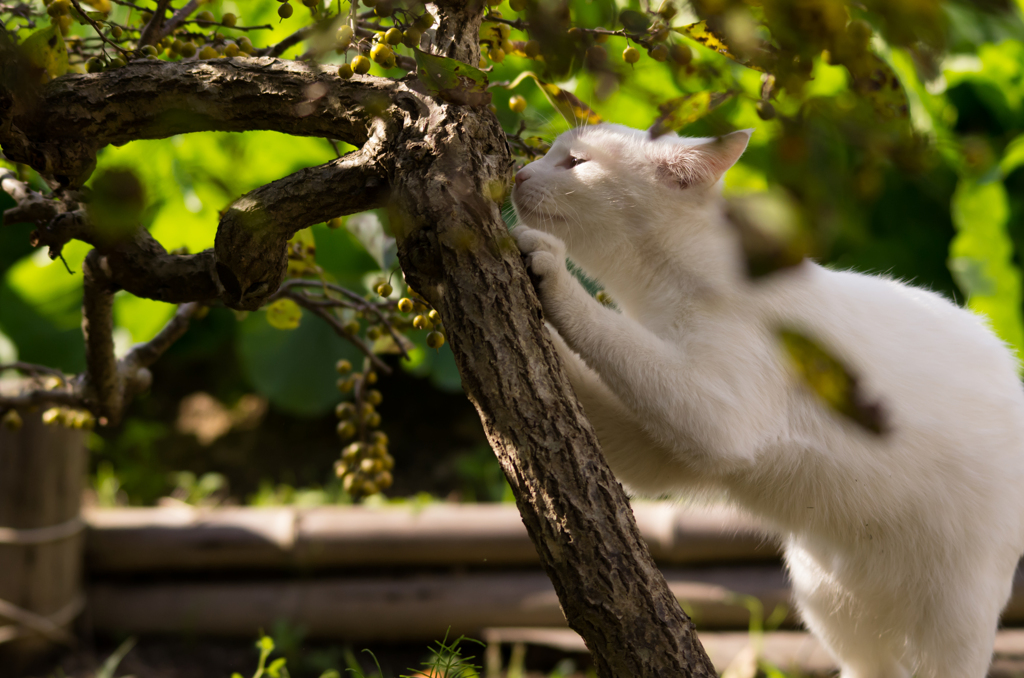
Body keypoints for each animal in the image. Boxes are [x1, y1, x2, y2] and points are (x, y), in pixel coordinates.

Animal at [516, 124, 1024, 678]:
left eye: (575, 162)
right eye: (548, 153)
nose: (517, 174)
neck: (664, 292)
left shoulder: (716, 417)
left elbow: (606, 330)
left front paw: (550, 273)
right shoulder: (658, 453)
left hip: (953, 622)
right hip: (830, 602)